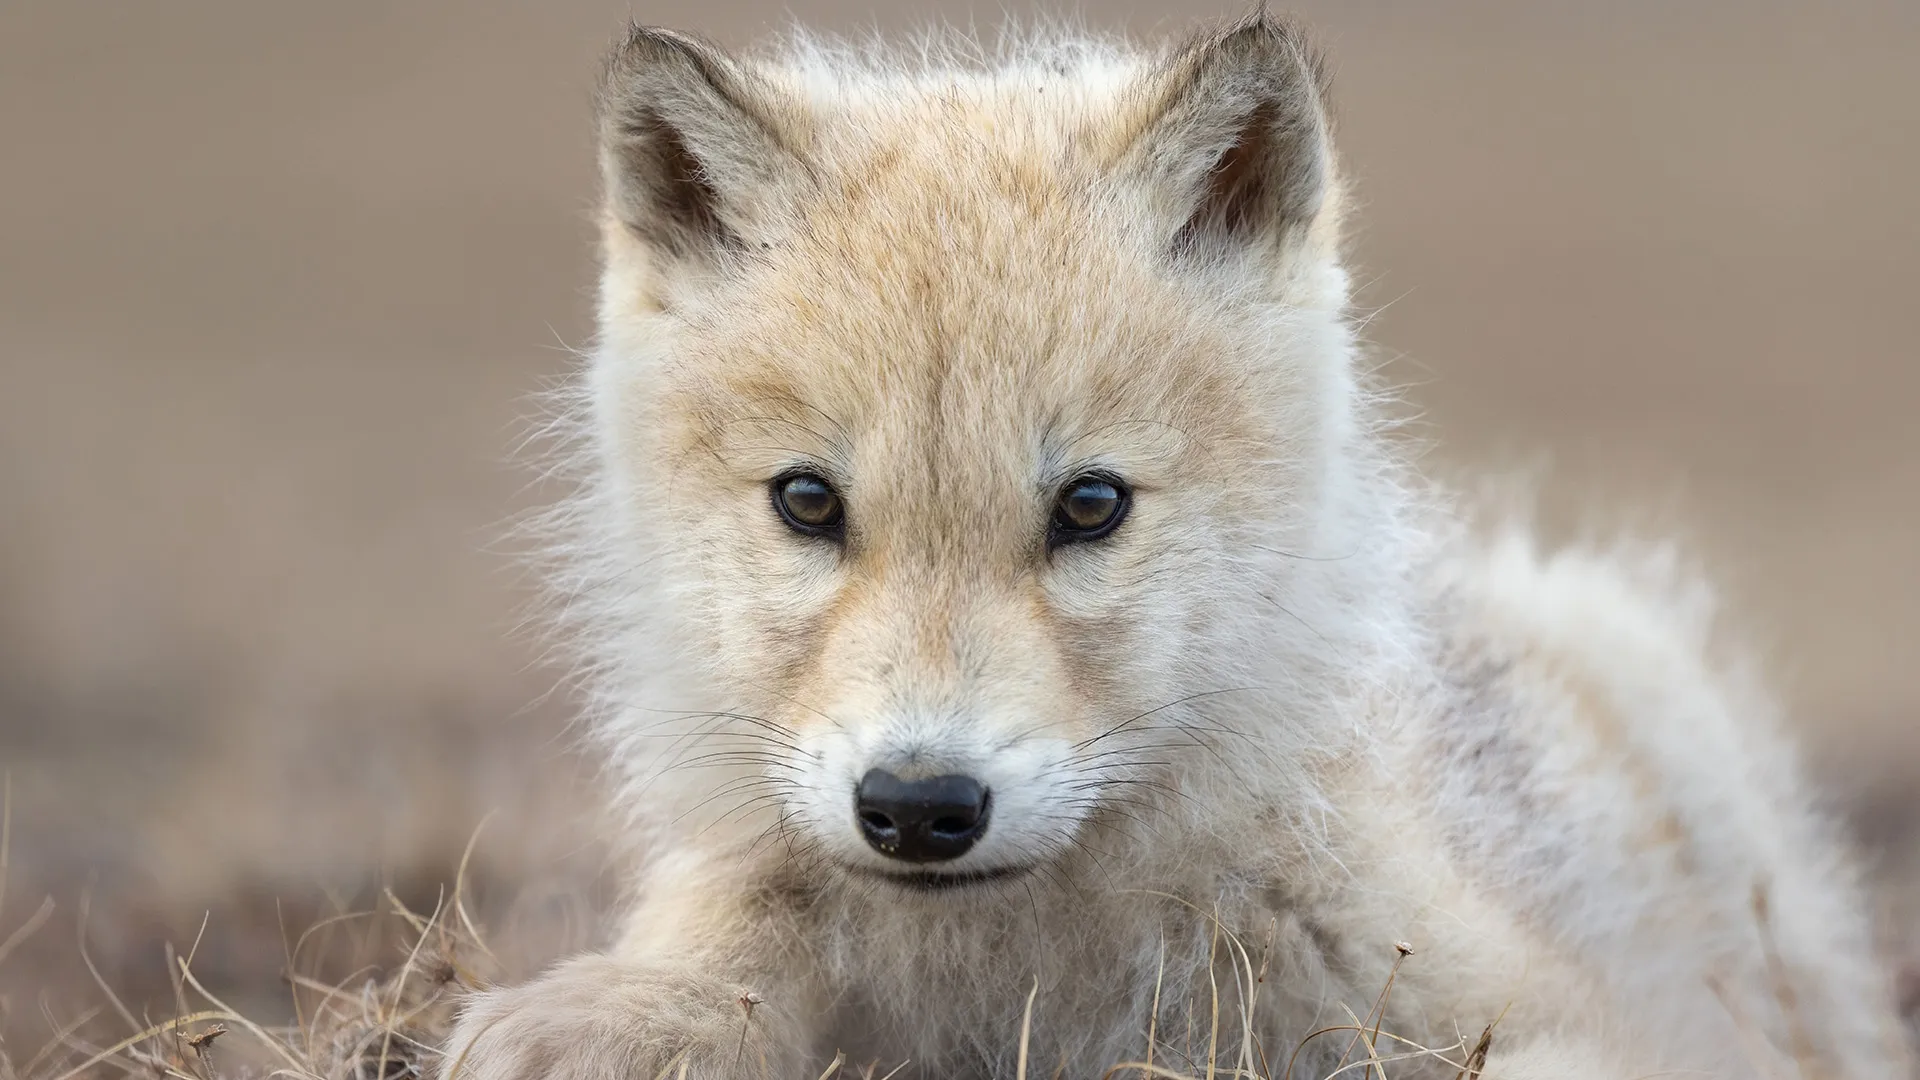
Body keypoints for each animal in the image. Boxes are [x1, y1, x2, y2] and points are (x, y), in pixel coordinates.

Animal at [442, 12, 1914, 1079]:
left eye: (1092, 506)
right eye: (808, 502)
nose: (919, 808)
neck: (1026, 974)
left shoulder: (1547, 1010)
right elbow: (718, 963)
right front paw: (626, 1010)